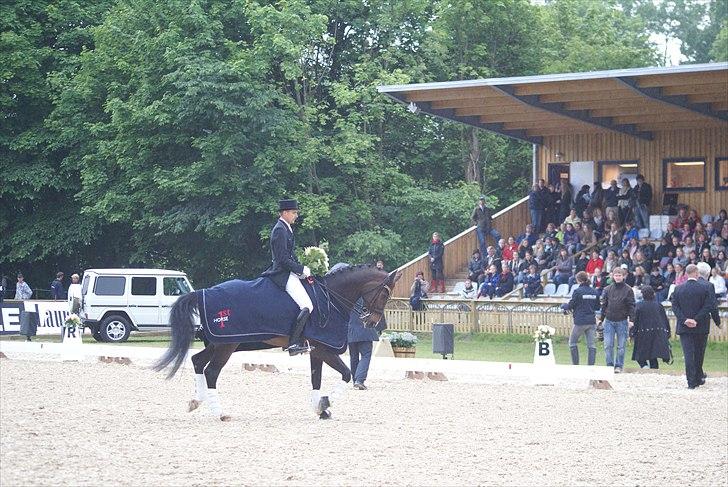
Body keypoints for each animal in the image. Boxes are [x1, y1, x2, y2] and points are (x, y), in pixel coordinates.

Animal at [154, 264, 400, 422]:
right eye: (385, 295)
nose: (371, 321)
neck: (331, 298)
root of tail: (202, 292)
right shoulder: (324, 349)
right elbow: (347, 374)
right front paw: (325, 404)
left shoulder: (316, 350)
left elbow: (316, 379)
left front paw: (320, 409)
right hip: (226, 346)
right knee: (211, 372)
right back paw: (219, 413)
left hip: (218, 343)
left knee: (197, 361)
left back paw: (196, 401)